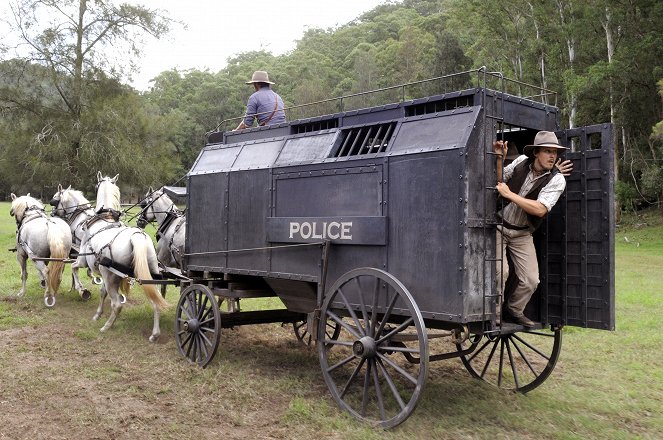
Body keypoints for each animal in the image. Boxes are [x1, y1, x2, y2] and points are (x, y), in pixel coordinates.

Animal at [74, 171, 169, 340]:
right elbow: (102, 292)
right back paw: (155, 333)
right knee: (156, 301)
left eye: (96, 185)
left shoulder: (83, 261)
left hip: (111, 276)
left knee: (117, 304)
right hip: (149, 275)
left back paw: (106, 326)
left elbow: (74, 267)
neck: (104, 219)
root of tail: (137, 236)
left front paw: (81, 290)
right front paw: (98, 314)